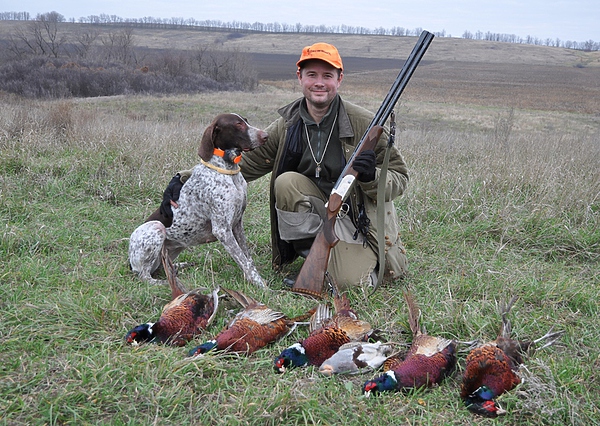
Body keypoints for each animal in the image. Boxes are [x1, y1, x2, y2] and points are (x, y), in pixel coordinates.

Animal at [130, 112, 268, 290]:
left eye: (246, 121)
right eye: (238, 124)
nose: (265, 136)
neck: (229, 172)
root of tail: (130, 261)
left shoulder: (237, 224)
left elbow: (248, 258)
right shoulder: (222, 230)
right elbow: (242, 259)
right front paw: (261, 285)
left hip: (174, 248)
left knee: (161, 268)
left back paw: (178, 267)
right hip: (156, 227)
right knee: (145, 276)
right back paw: (166, 283)